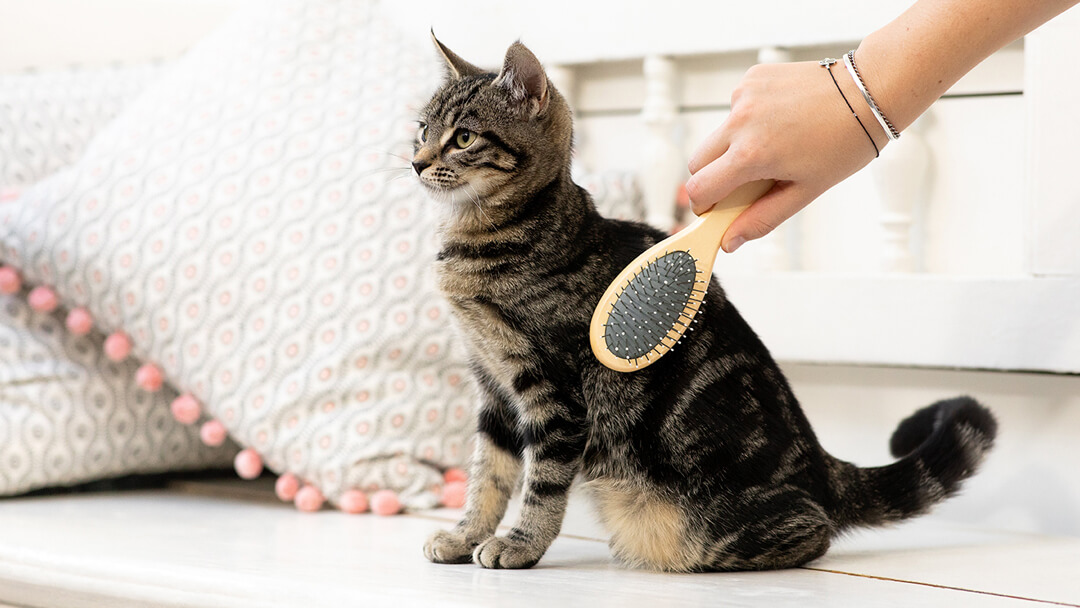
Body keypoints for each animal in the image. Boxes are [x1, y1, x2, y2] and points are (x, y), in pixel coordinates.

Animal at [412, 36, 993, 570]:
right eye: (421, 131)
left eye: (462, 137)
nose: (416, 163)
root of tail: (820, 464)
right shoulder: (492, 386)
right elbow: (488, 475)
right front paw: (464, 535)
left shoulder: (554, 394)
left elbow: (542, 484)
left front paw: (520, 544)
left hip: (702, 524)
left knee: (813, 532)